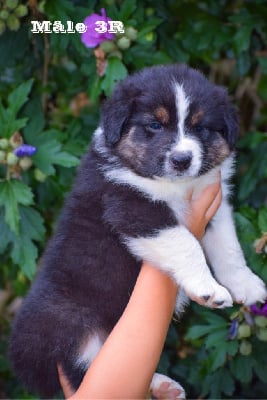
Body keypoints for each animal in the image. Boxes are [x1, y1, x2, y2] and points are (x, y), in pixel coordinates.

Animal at [9, 64, 266, 398]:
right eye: (155, 125)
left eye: (201, 128)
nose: (181, 160)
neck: (175, 186)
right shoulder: (131, 205)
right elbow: (186, 243)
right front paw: (208, 289)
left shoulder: (215, 205)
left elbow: (228, 248)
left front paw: (247, 285)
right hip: (75, 328)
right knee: (87, 374)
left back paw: (164, 386)